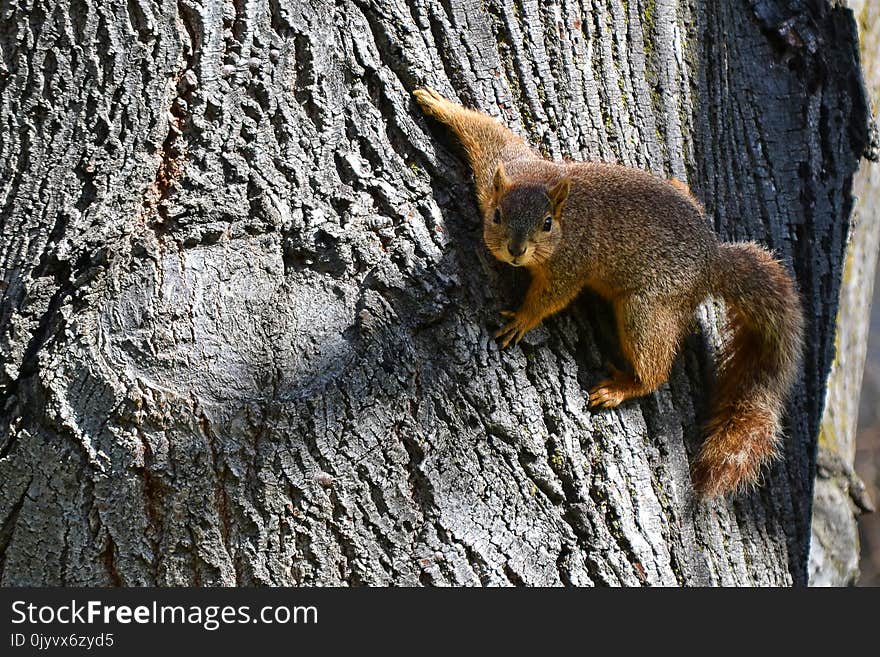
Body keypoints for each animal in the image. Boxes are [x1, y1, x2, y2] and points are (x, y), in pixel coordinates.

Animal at [412, 87, 804, 498]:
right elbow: (488, 133)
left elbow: (554, 296)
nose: (516, 250)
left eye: (547, 224)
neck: (566, 215)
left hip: (647, 307)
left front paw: (522, 319)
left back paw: (624, 387)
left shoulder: (571, 264)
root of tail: (713, 262)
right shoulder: (502, 167)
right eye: (498, 215)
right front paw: (436, 102)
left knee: (654, 366)